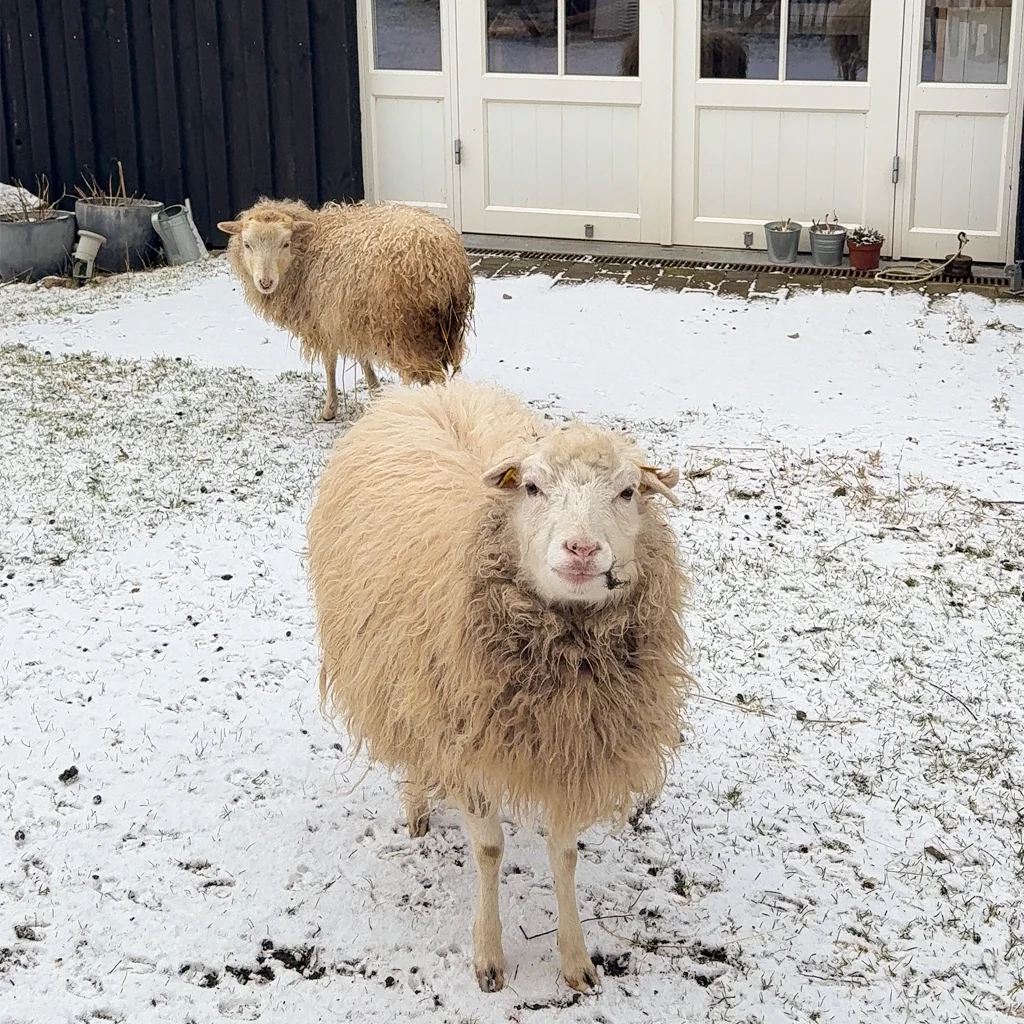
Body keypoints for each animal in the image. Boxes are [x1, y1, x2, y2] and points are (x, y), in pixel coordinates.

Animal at [217, 198, 474, 421]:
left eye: (285, 243)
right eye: (247, 245)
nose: (265, 282)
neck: (309, 249)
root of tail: (441, 263)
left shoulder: (323, 320)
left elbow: (330, 363)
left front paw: (329, 409)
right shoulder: (351, 317)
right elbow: (362, 358)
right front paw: (375, 393)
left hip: (409, 333)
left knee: (434, 377)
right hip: (445, 332)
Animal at [307, 378, 692, 993]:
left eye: (628, 491)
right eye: (531, 487)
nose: (582, 550)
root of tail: (433, 390)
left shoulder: (572, 751)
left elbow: (564, 854)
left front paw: (575, 960)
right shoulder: (465, 736)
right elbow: (488, 849)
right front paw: (489, 955)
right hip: (404, 677)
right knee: (412, 745)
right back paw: (417, 807)